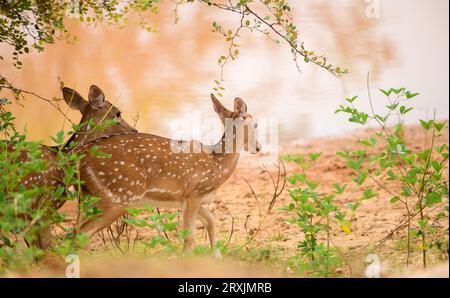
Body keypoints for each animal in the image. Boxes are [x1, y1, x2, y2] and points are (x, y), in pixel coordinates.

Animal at [77, 93, 260, 256]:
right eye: (256, 124)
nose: (258, 147)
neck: (219, 164)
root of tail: (79, 157)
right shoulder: (194, 192)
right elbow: (189, 236)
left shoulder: (187, 198)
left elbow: (211, 220)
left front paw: (216, 257)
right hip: (119, 195)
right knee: (83, 233)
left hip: (91, 196)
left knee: (76, 230)